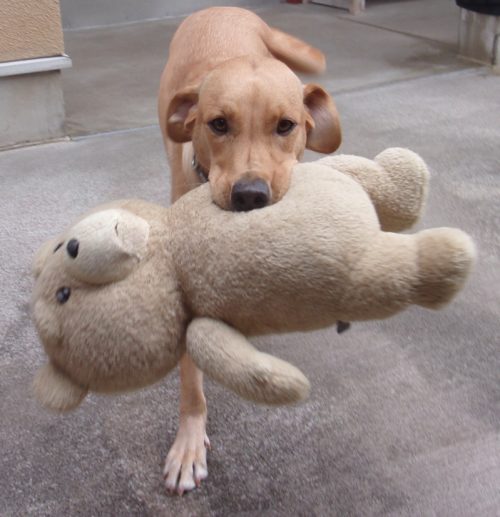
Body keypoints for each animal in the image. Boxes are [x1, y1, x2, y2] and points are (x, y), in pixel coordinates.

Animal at [157, 6, 341, 494]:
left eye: (286, 126)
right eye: (218, 123)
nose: (250, 195)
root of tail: (223, 9)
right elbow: (191, 382)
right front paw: (189, 442)